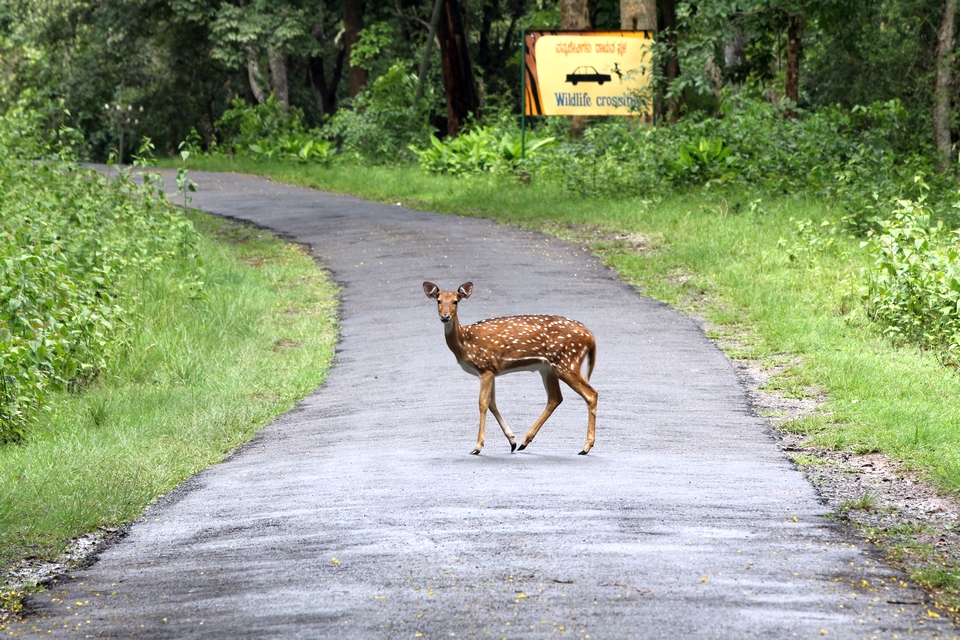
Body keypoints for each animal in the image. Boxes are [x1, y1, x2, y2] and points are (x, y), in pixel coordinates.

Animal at [424, 280, 596, 456]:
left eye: (455, 301)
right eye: (438, 300)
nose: (445, 317)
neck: (465, 342)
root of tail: (590, 336)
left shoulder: (485, 367)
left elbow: (483, 403)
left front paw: (477, 446)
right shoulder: (492, 370)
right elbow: (492, 404)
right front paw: (512, 441)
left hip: (566, 362)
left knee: (591, 394)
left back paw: (586, 447)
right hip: (548, 368)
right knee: (555, 398)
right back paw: (524, 442)